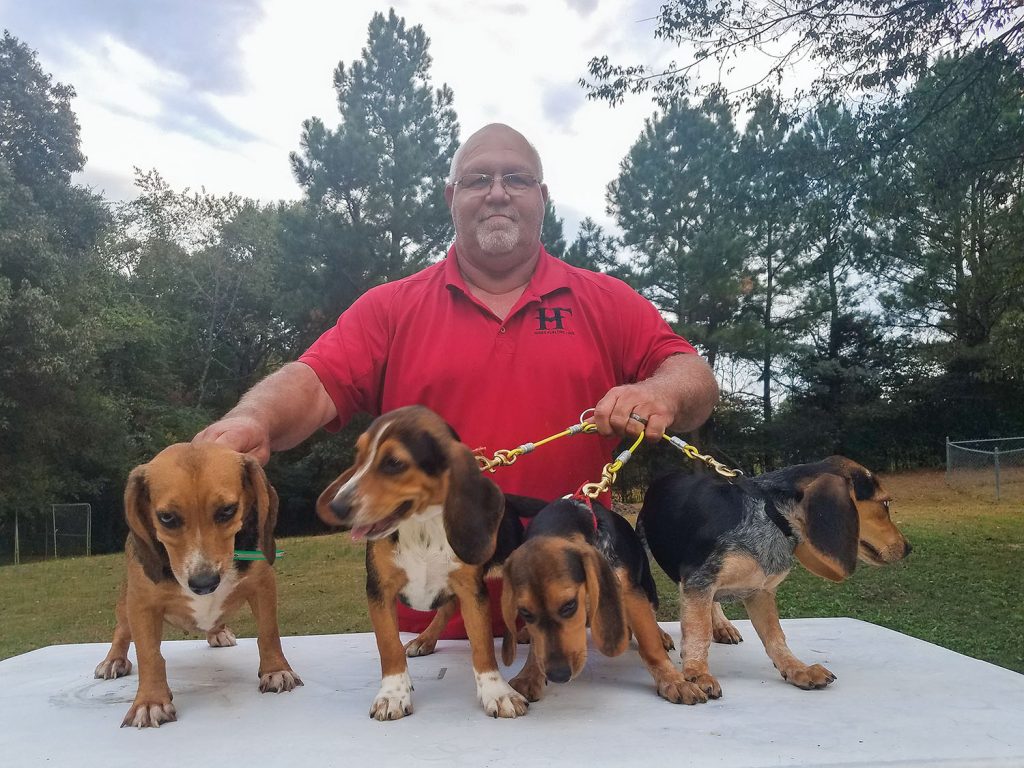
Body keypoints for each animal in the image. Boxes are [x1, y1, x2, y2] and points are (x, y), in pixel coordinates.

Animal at [93, 444, 301, 729]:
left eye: (227, 510)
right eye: (167, 518)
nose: (204, 584)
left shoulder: (263, 585)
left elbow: (268, 632)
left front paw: (276, 670)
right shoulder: (142, 605)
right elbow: (149, 654)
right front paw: (150, 702)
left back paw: (218, 631)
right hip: (125, 605)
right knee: (122, 631)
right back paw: (114, 659)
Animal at [315, 409, 528, 720]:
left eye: (394, 463)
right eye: (359, 455)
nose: (338, 507)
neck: (422, 526)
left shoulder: (471, 590)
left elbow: (483, 645)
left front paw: (497, 692)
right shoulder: (379, 590)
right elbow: (388, 645)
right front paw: (393, 694)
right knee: (446, 608)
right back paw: (424, 640)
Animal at [499, 501, 708, 708]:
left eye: (569, 605)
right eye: (525, 613)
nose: (558, 675)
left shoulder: (630, 593)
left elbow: (651, 644)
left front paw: (674, 681)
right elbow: (537, 647)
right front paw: (528, 676)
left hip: (648, 587)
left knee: (651, 613)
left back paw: (660, 634)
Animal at [638, 460, 913, 700]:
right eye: (885, 503)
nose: (908, 548)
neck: (771, 515)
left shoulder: (760, 591)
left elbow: (775, 637)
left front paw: (797, 669)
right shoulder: (699, 579)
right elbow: (698, 632)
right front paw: (697, 674)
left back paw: (722, 625)